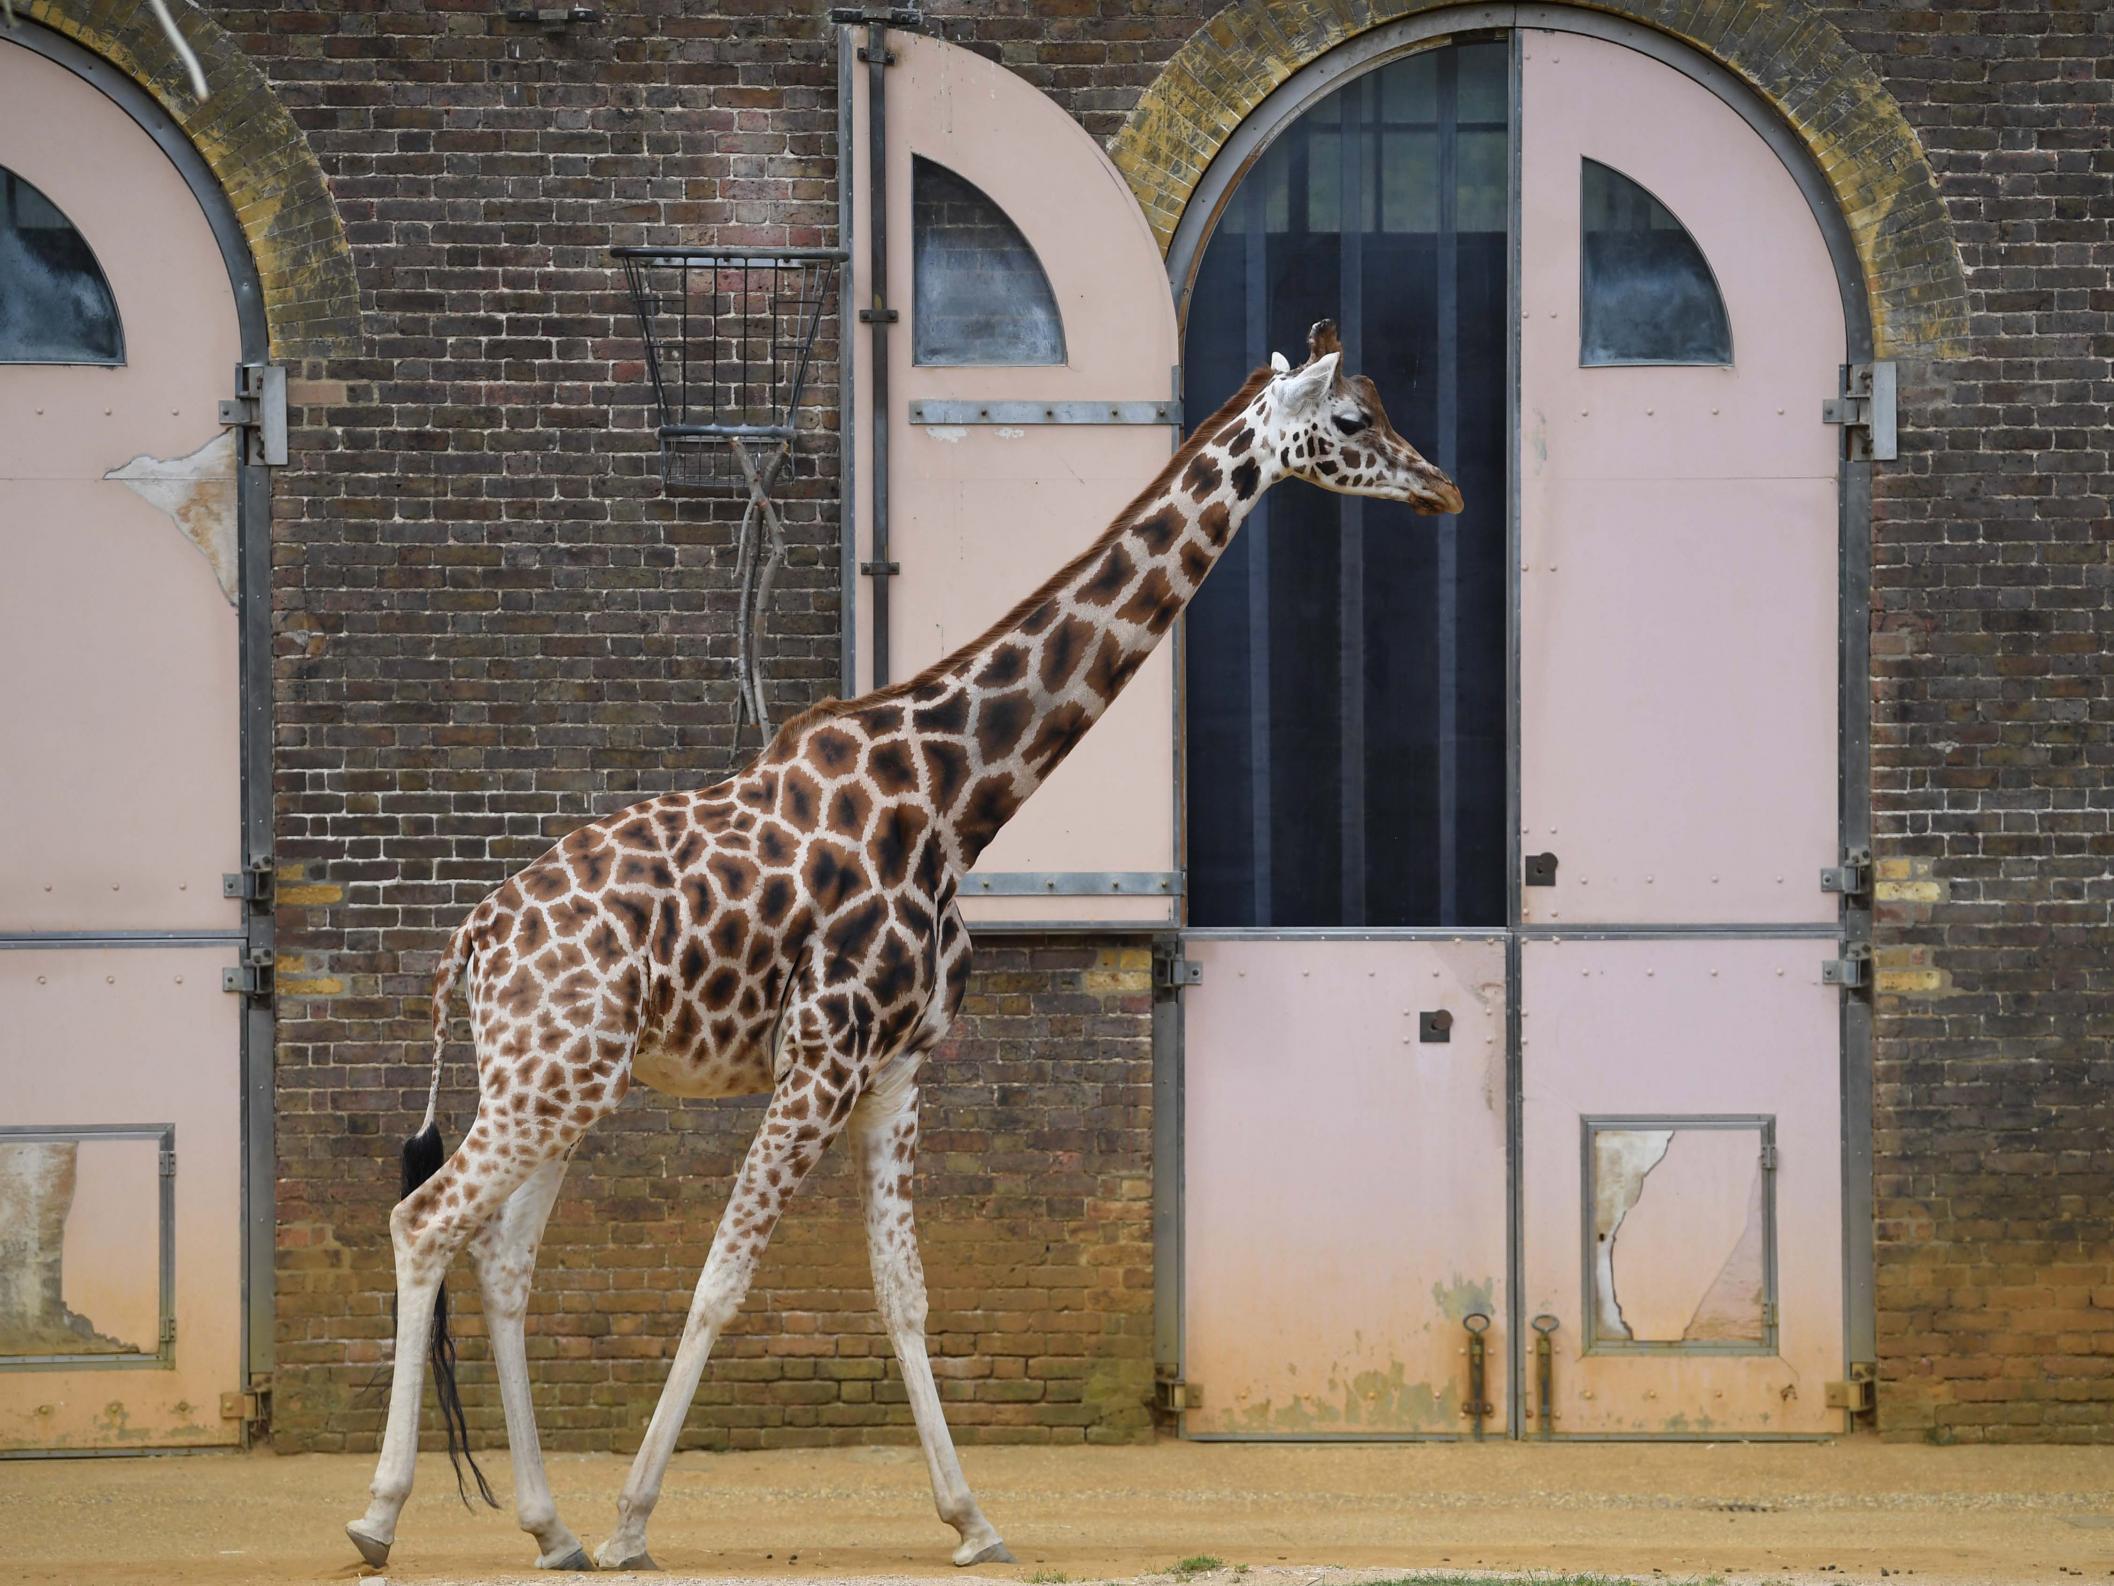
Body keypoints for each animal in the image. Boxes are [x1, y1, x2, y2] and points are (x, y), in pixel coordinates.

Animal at [345, 320, 1463, 1573]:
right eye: (1354, 420)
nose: (1445, 488)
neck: (953, 796)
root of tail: (474, 938)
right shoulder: (822, 1052)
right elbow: (722, 1275)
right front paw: (637, 1518)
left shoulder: (896, 1065)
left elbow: (902, 1289)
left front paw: (971, 1517)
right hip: (547, 1077)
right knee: (424, 1219)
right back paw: (383, 1516)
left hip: (563, 1081)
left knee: (499, 1257)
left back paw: (549, 1525)